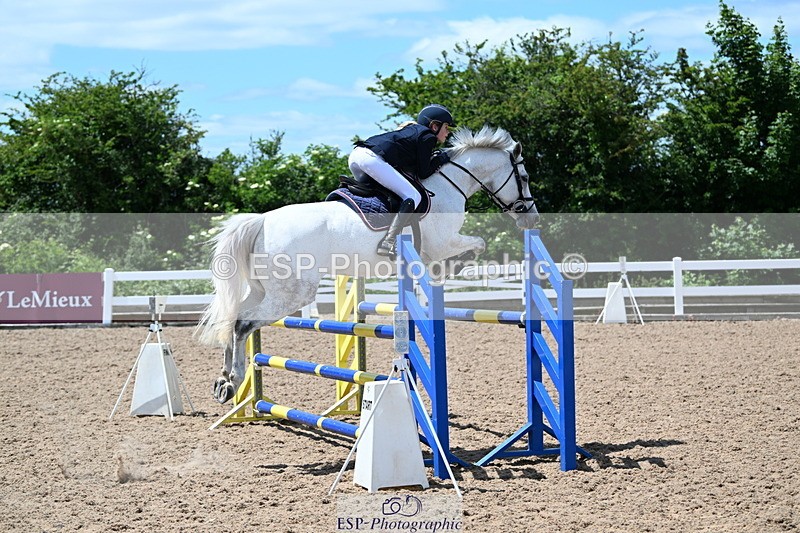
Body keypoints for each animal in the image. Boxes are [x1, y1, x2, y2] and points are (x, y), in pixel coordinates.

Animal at [197, 125, 540, 403]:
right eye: (524, 178)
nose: (531, 218)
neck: (449, 183)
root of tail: (262, 221)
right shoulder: (443, 243)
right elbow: (478, 244)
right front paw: (450, 269)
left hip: (262, 289)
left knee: (232, 318)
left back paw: (223, 382)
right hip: (292, 293)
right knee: (243, 323)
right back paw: (234, 380)